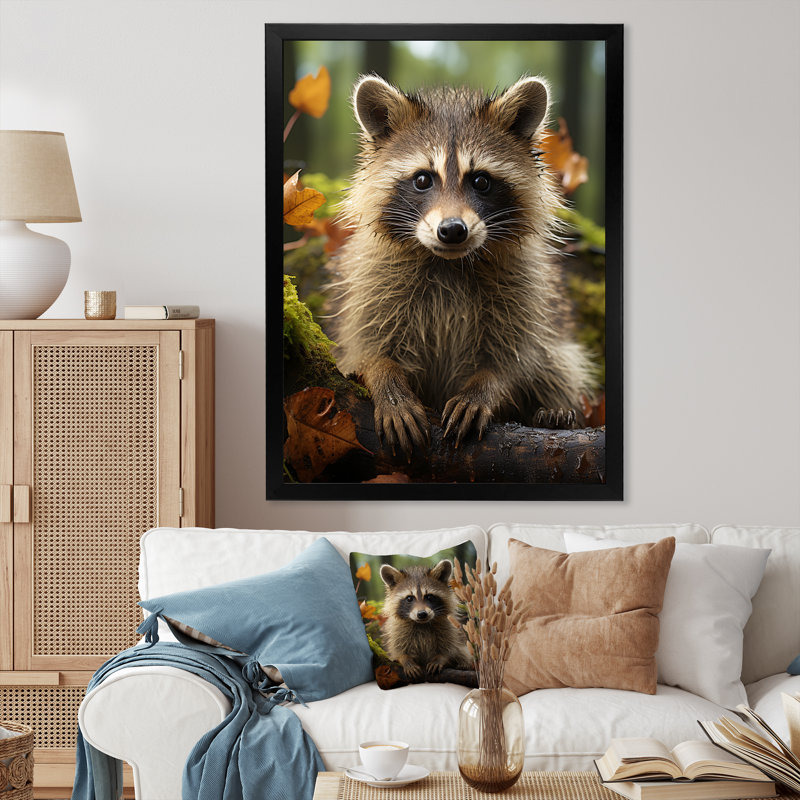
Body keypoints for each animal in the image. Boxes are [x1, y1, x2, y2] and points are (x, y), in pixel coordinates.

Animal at [325, 74, 596, 455]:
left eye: (480, 180)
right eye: (423, 179)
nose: (452, 230)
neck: (447, 263)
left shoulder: (528, 288)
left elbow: (519, 357)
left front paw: (486, 387)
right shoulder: (370, 281)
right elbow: (363, 346)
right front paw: (385, 379)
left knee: (560, 364)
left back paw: (555, 411)